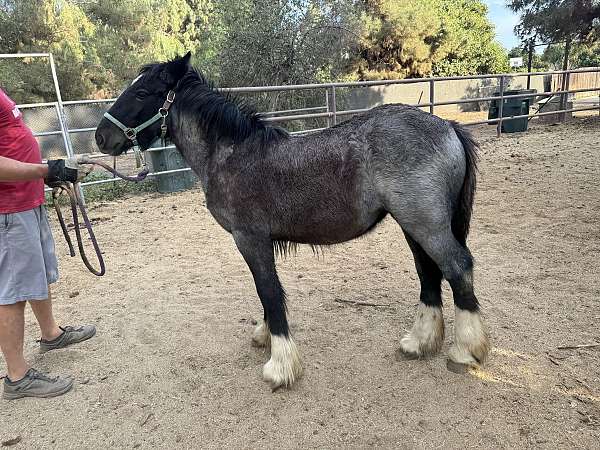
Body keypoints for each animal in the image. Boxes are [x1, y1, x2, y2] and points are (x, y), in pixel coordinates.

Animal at [94, 52, 488, 388]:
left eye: (142, 92)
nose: (100, 137)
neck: (232, 153)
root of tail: (448, 126)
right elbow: (266, 291)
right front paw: (265, 336)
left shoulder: (249, 238)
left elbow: (268, 290)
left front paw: (280, 365)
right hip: (413, 225)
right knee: (429, 273)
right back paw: (419, 343)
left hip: (426, 224)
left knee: (457, 266)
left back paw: (466, 350)